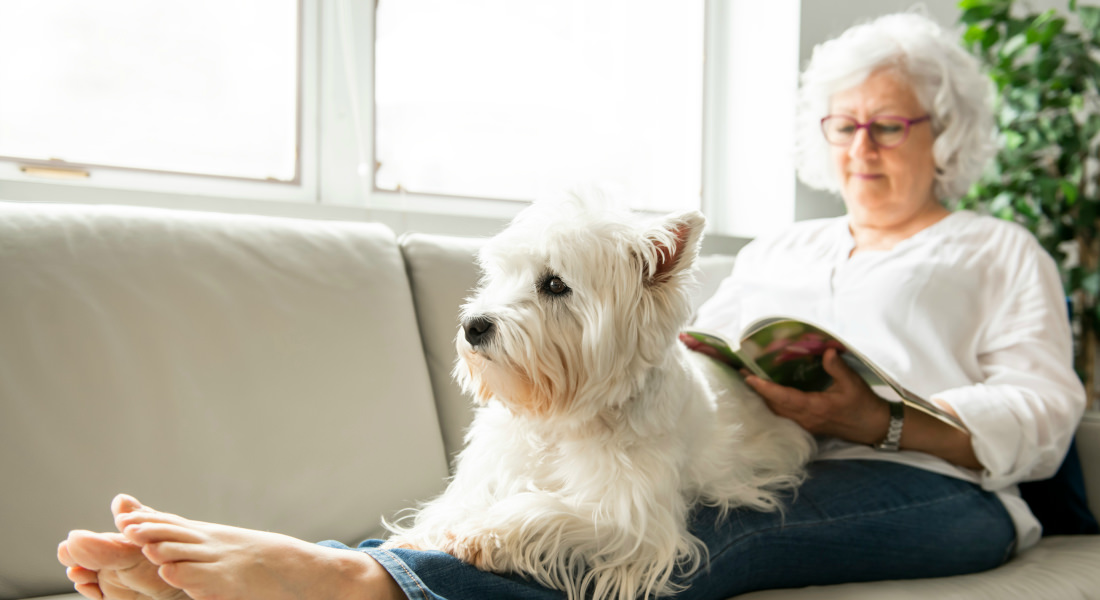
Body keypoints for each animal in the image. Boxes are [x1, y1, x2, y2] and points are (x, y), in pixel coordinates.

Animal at [382, 195, 814, 598]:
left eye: (555, 284)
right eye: (501, 275)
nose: (472, 326)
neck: (559, 417)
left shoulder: (633, 518)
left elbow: (544, 508)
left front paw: (485, 533)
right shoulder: (493, 467)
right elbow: (455, 503)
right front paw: (420, 534)